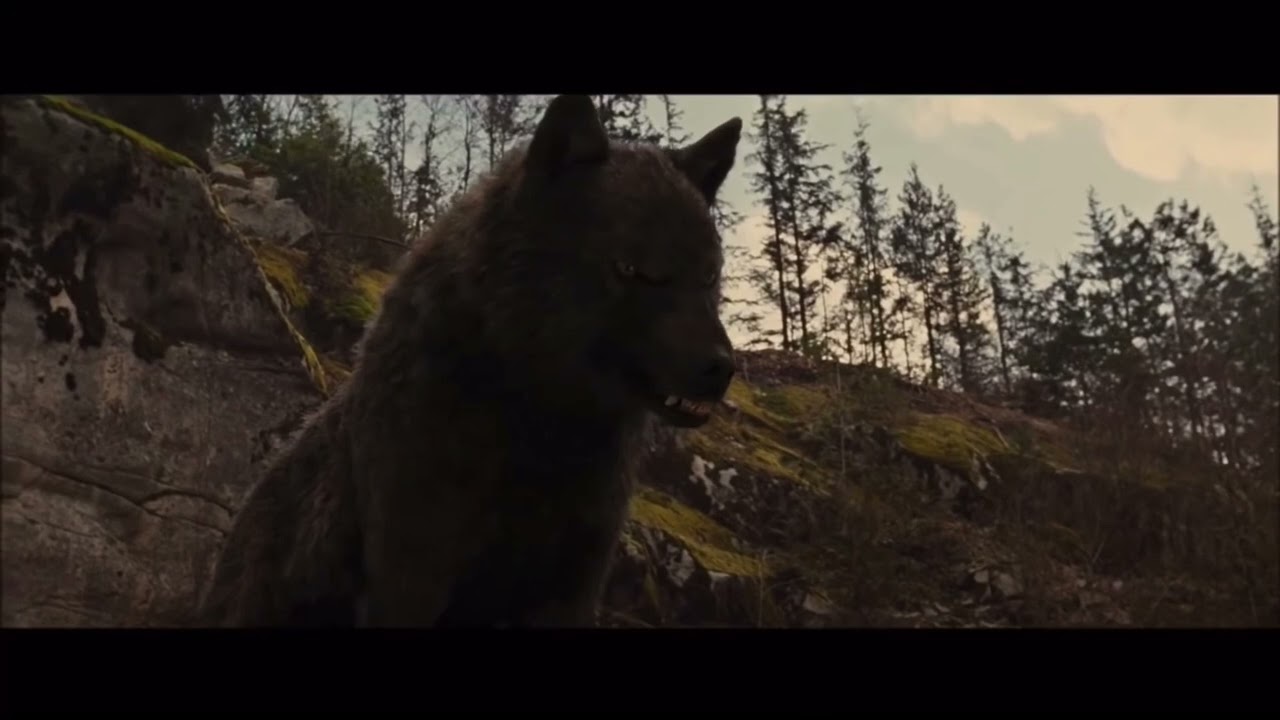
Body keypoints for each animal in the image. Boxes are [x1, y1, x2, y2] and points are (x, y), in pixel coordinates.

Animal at [197, 94, 743, 627]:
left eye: (709, 274)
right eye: (630, 267)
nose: (721, 368)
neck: (539, 430)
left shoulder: (571, 585)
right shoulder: (411, 574)